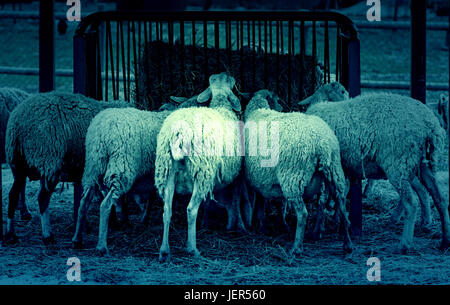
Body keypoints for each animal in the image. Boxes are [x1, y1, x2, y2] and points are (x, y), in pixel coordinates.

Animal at [4, 91, 128, 243]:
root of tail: (19, 124)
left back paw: (11, 234)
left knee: (13, 195)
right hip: (50, 161)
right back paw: (47, 236)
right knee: (42, 198)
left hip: (17, 163)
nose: (126, 222)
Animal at [156, 72, 246, 262]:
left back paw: (164, 251)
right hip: (201, 172)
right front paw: (238, 225)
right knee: (191, 210)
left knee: (166, 210)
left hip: (167, 171)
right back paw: (192, 249)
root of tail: (180, 133)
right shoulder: (237, 175)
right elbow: (236, 199)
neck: (221, 103)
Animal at [244, 89, 354, 254]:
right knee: (342, 207)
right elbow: (279, 203)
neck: (258, 110)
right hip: (334, 173)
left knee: (303, 214)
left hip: (292, 177)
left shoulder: (259, 180)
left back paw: (296, 247)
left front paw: (262, 225)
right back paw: (347, 244)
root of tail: (321, 143)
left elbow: (261, 203)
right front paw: (281, 223)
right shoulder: (267, 180)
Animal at [298, 84, 450, 251]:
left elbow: (323, 199)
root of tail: (430, 125)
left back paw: (405, 244)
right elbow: (338, 196)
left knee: (411, 202)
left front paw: (318, 230)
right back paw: (444, 241)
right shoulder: (342, 169)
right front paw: (340, 225)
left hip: (398, 163)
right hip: (425, 164)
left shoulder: (328, 166)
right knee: (440, 199)